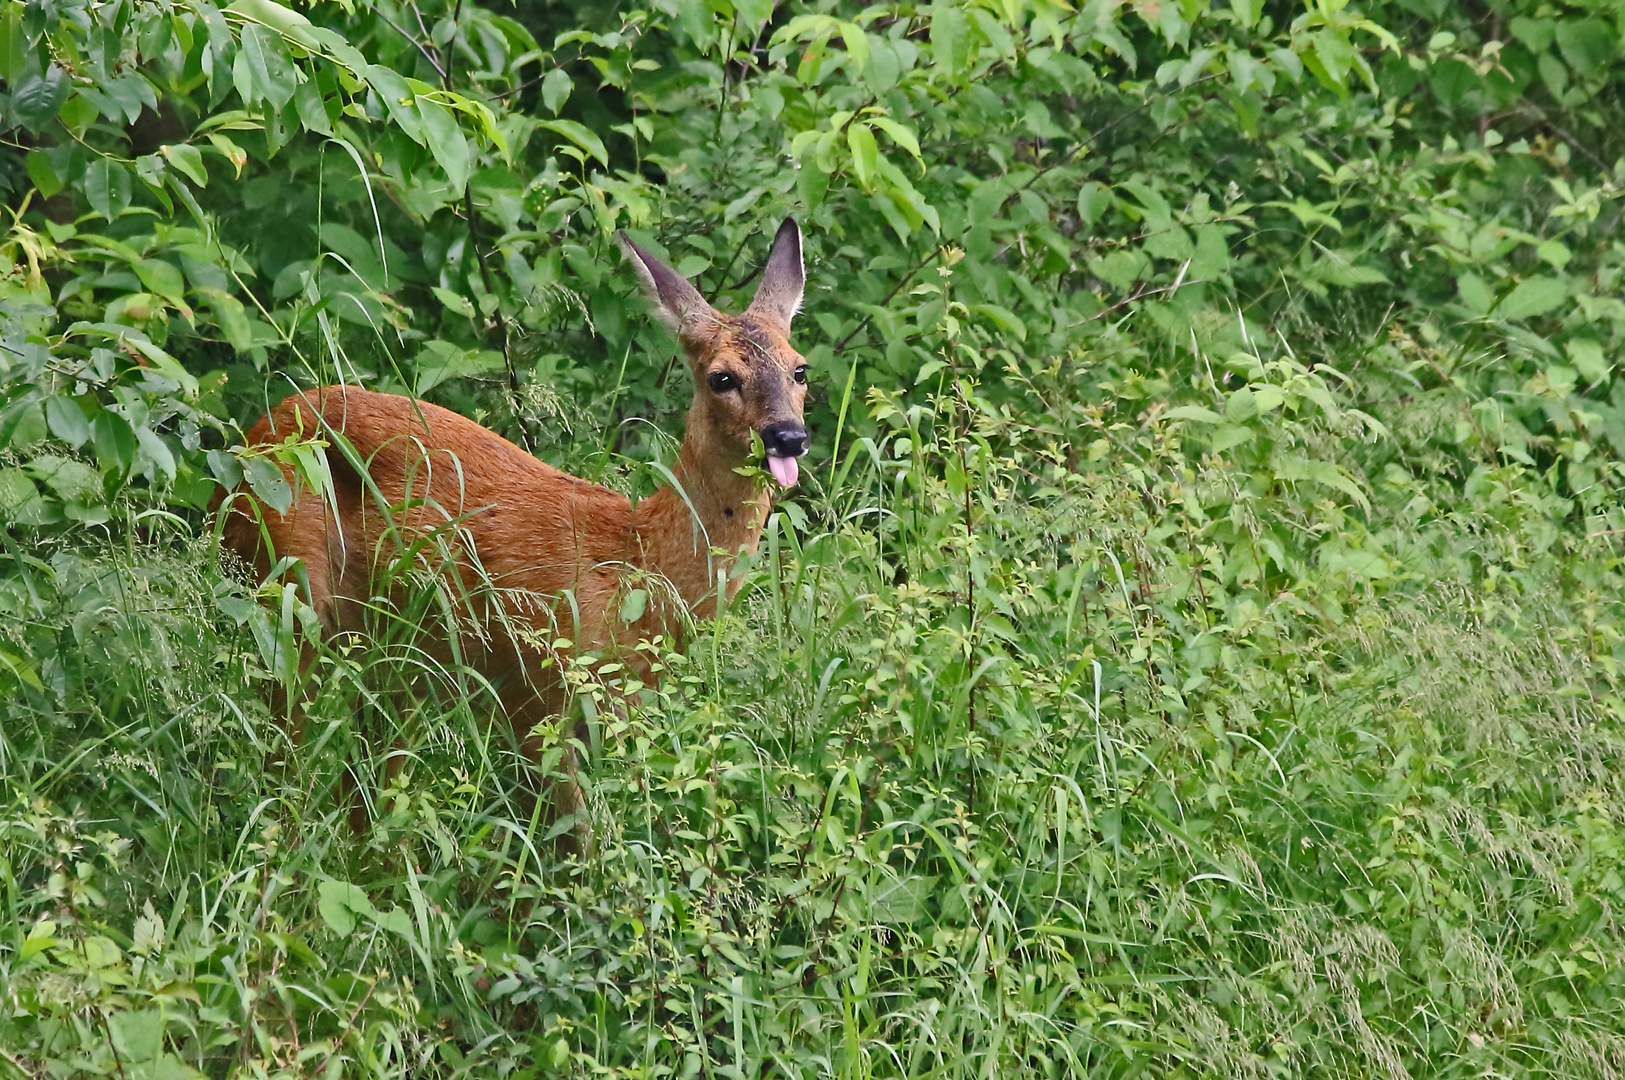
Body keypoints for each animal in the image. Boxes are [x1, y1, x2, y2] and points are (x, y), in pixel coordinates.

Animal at [216, 219, 812, 844]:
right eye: (722, 377)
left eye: (800, 369)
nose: (788, 436)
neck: (637, 562)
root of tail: (251, 437)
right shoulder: (535, 691)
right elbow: (574, 843)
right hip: (288, 592)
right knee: (282, 765)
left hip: (395, 654)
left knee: (364, 785)